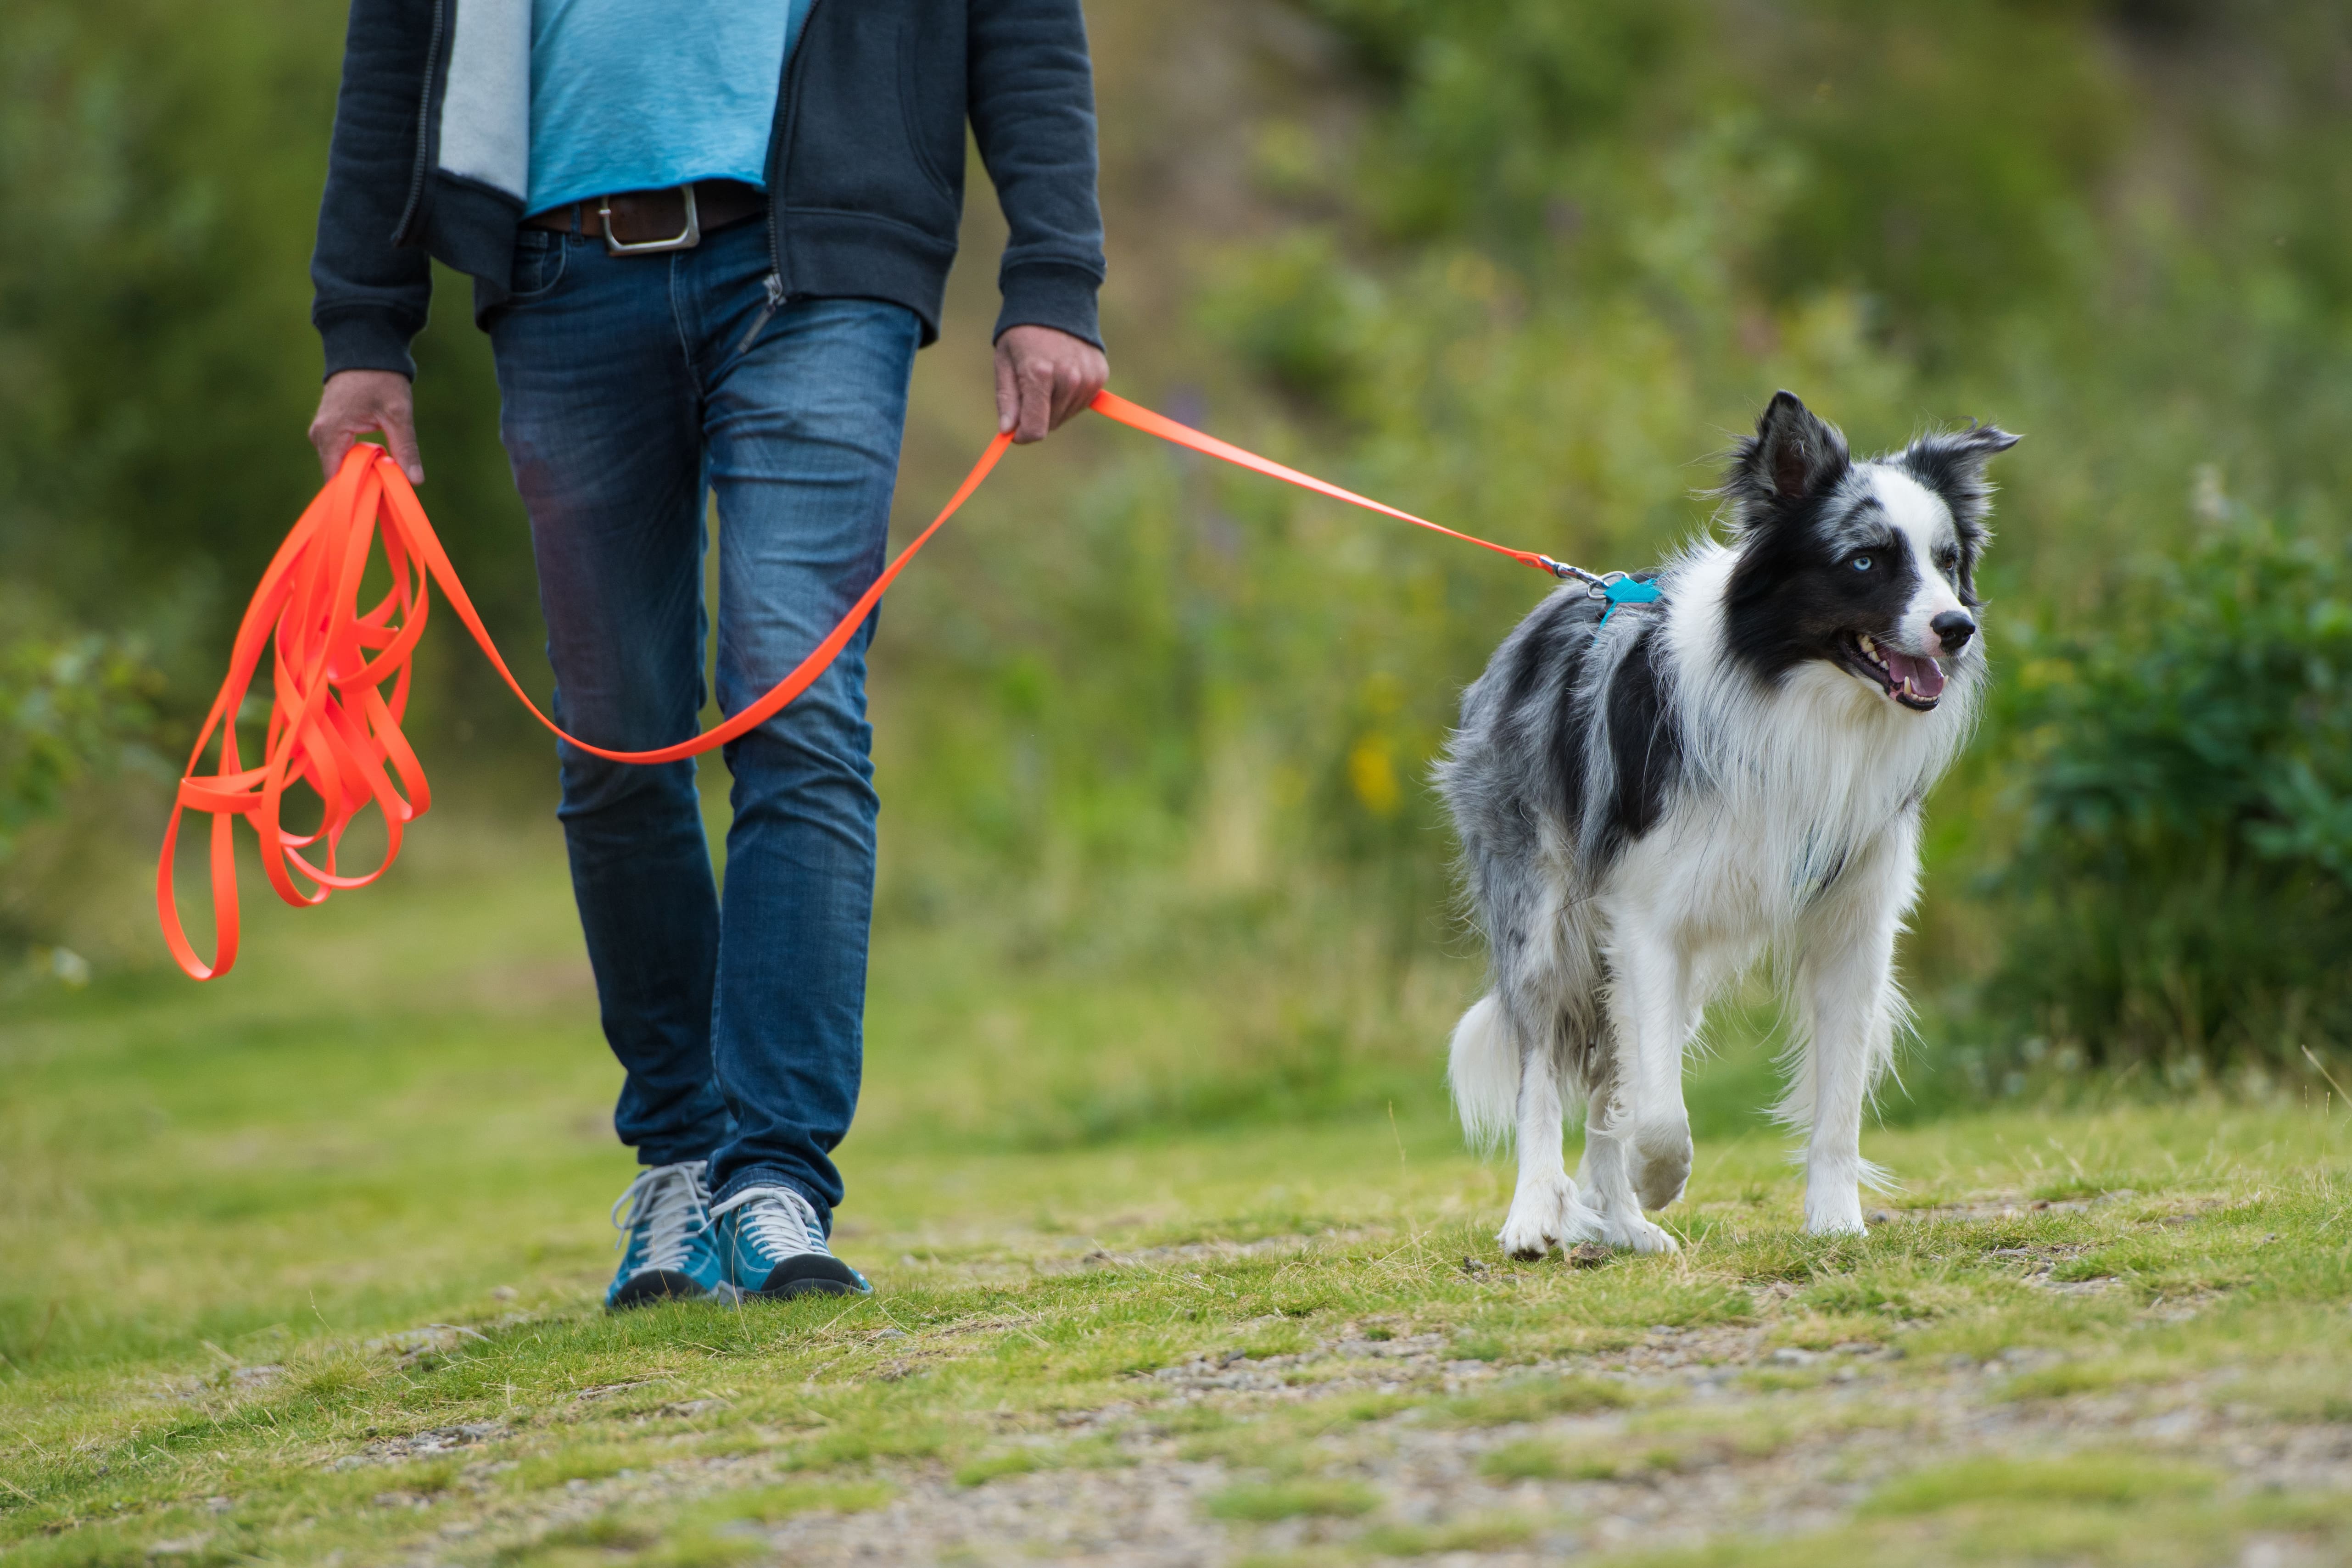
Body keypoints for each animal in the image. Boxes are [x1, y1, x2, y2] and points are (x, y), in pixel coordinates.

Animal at [1430, 395, 2022, 1260]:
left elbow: (1836, 1103)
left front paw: (1836, 1222)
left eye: (1948, 560)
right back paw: (1538, 1214)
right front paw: (1658, 1177)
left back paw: (1623, 1226)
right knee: (1545, 1067)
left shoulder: (1854, 927)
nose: (1956, 628)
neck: (1800, 695)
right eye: (1865, 562)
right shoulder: (1646, 920)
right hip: (1542, 920)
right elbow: (1655, 1109)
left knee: (1611, 1072)